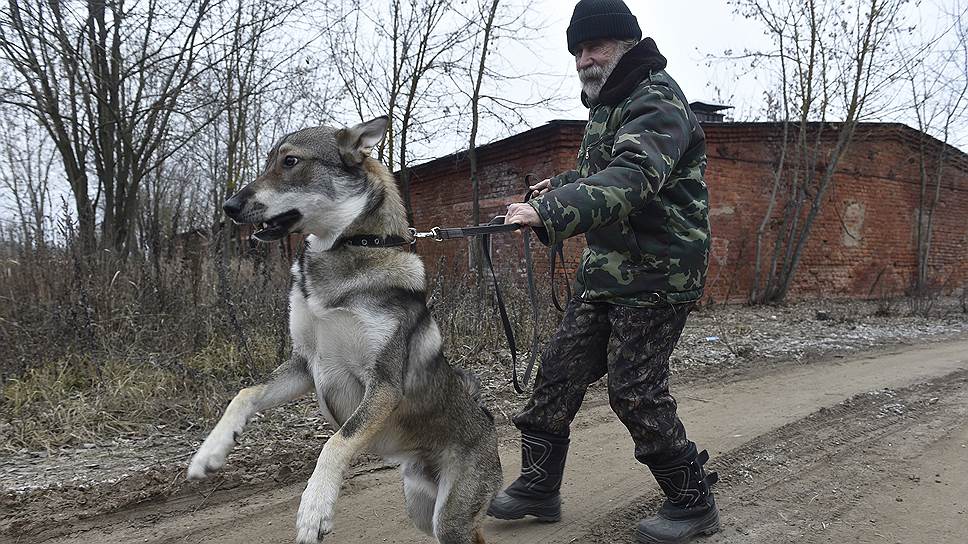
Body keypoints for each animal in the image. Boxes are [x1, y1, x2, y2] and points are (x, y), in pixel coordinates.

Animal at [190, 116, 506, 544]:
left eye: (290, 161)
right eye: (269, 160)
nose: (229, 207)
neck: (351, 246)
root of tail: (488, 420)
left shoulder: (382, 384)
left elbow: (336, 441)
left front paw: (315, 507)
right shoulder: (305, 366)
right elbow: (245, 394)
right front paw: (210, 451)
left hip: (450, 517)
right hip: (423, 509)